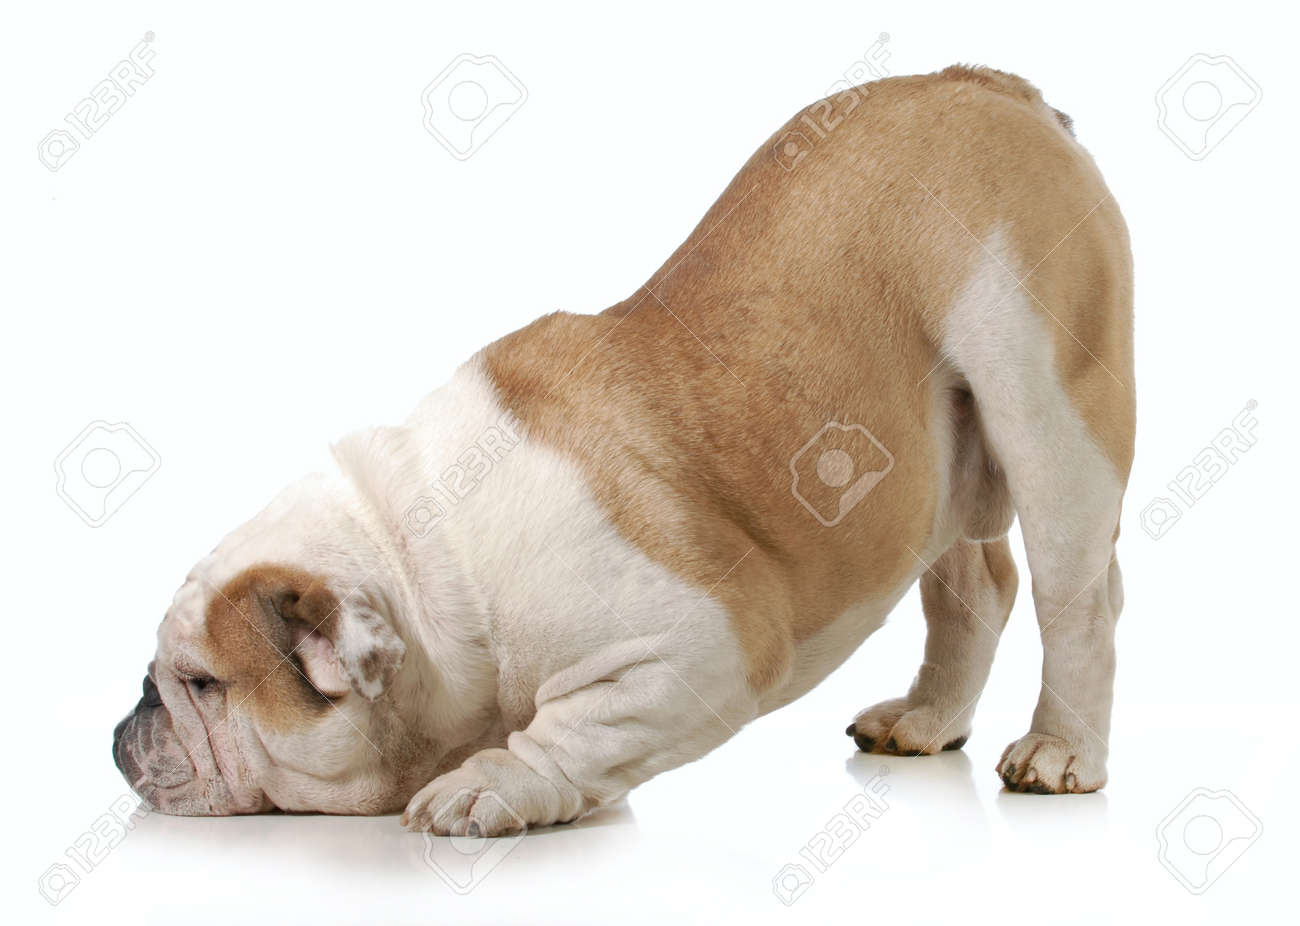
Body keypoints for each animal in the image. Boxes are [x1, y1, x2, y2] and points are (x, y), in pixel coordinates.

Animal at [113, 65, 1133, 833]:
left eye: (201, 683)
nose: (130, 724)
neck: (429, 568)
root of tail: (989, 85)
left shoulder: (703, 647)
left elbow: (570, 728)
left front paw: (487, 786)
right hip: (937, 458)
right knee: (976, 585)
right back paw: (927, 719)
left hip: (1047, 404)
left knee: (1078, 596)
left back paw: (1060, 752)